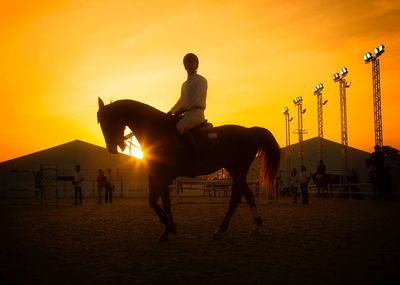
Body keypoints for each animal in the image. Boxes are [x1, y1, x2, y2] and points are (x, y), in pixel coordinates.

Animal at [97, 97, 280, 240]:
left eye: (109, 120)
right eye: (100, 122)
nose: (111, 148)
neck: (158, 133)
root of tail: (250, 131)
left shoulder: (163, 176)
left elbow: (161, 202)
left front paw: (169, 228)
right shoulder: (158, 176)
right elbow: (156, 201)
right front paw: (168, 226)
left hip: (238, 171)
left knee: (238, 198)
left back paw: (226, 229)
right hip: (235, 171)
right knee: (246, 196)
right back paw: (246, 227)